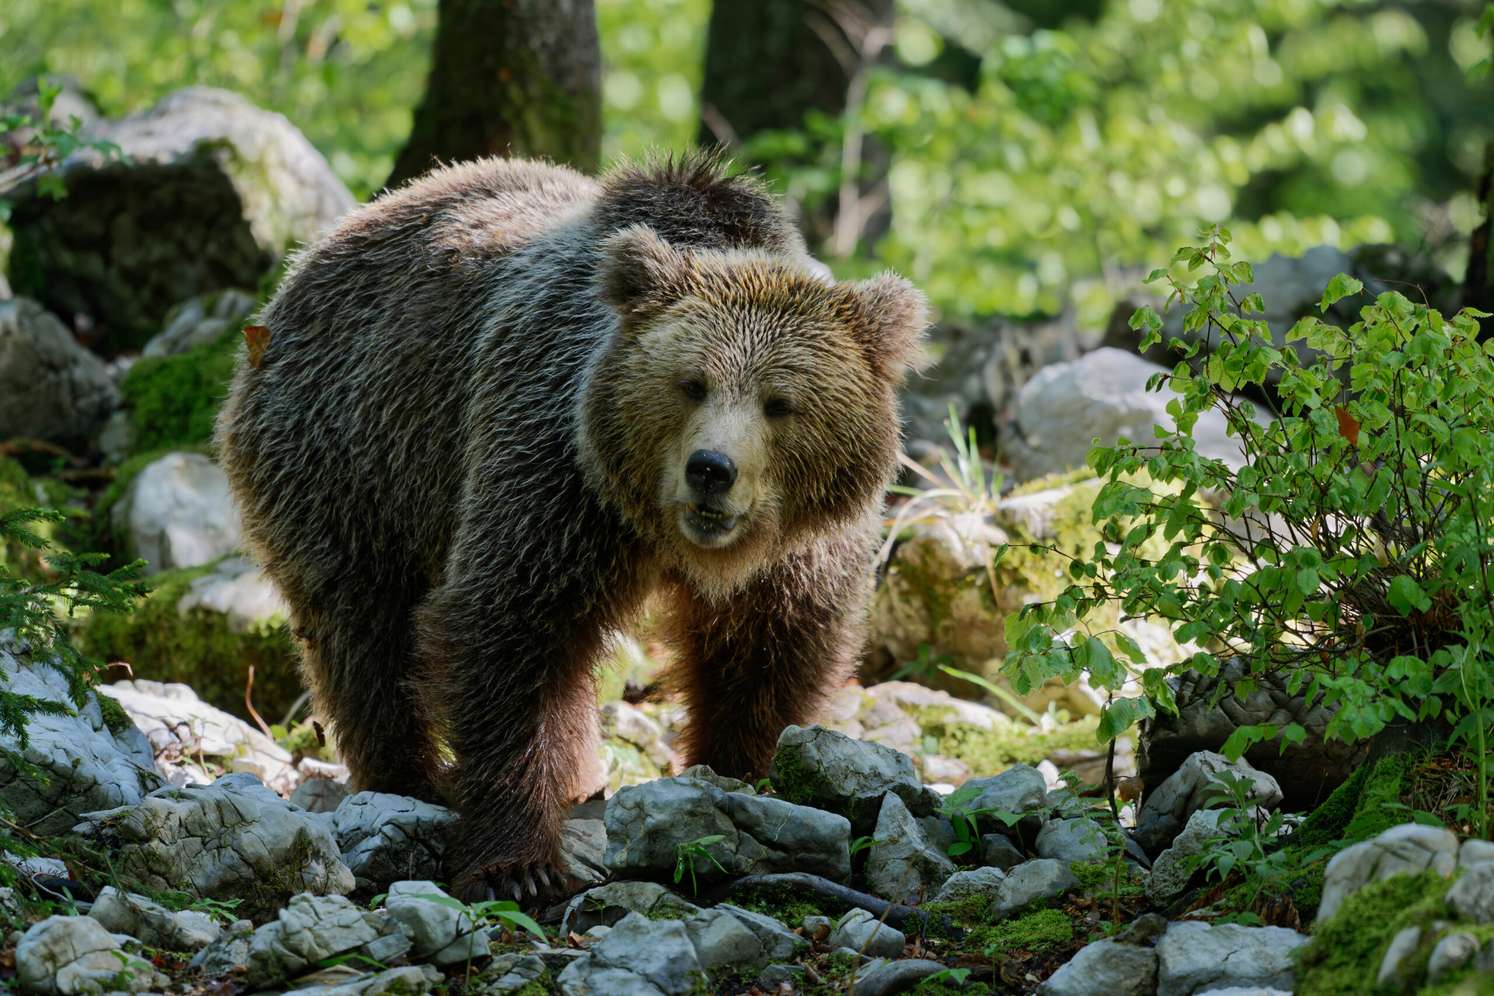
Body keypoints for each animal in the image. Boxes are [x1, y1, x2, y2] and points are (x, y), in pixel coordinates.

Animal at [215, 151, 928, 901]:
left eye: (780, 402)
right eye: (691, 383)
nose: (711, 470)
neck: (662, 531)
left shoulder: (800, 548)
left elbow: (771, 649)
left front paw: (744, 774)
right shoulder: (556, 473)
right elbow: (510, 626)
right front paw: (517, 863)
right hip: (352, 450)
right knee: (364, 627)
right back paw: (409, 779)